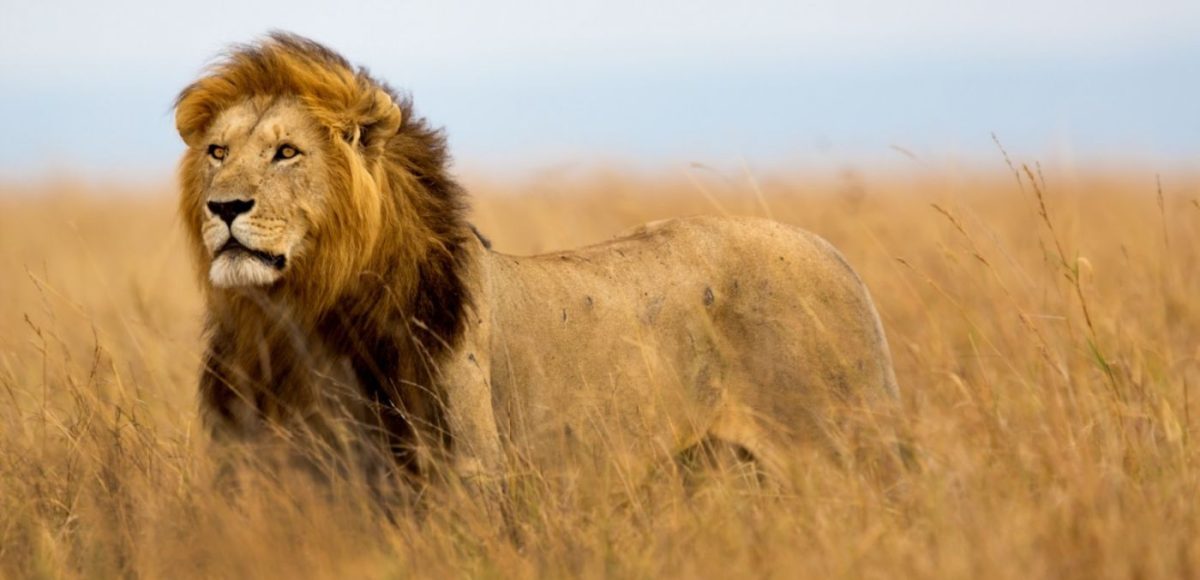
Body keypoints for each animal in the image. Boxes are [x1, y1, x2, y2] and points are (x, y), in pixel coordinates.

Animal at [175, 33, 904, 493]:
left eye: (286, 152)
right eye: (217, 151)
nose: (224, 207)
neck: (297, 317)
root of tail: (837, 256)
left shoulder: (464, 475)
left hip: (843, 452)